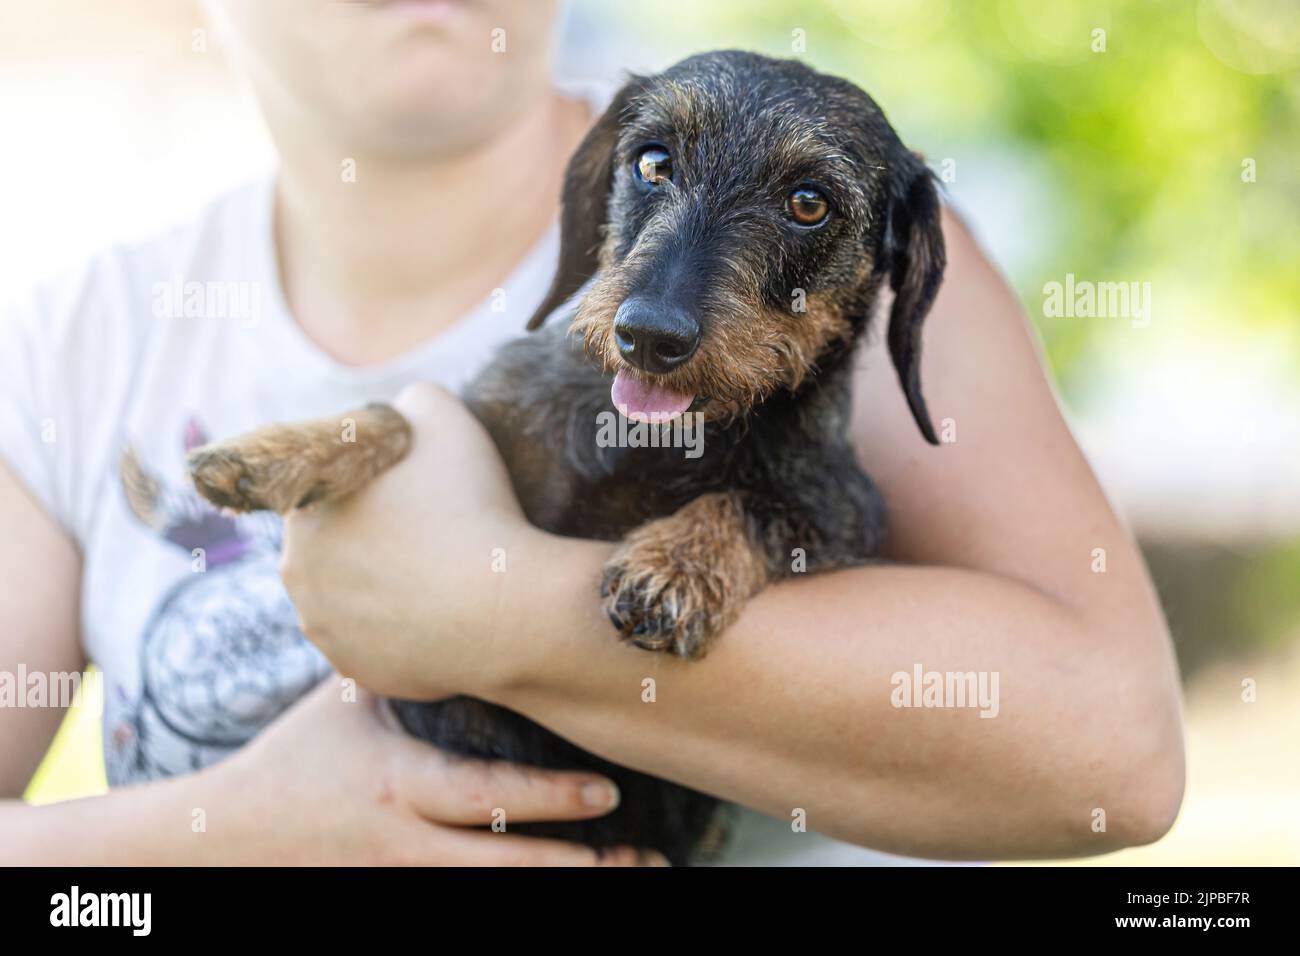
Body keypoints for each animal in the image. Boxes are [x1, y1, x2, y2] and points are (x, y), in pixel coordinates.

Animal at [188, 50, 946, 868]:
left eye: (810, 203)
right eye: (653, 162)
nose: (650, 335)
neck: (652, 440)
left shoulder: (847, 519)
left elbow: (753, 506)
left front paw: (676, 566)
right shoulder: (495, 412)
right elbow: (402, 418)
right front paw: (269, 452)